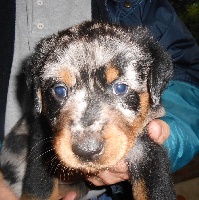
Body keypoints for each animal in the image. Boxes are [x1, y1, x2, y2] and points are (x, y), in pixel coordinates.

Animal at [1, 21, 176, 199]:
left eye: (120, 87)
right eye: (59, 90)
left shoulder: (147, 150)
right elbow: (38, 189)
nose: (87, 150)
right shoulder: (41, 143)